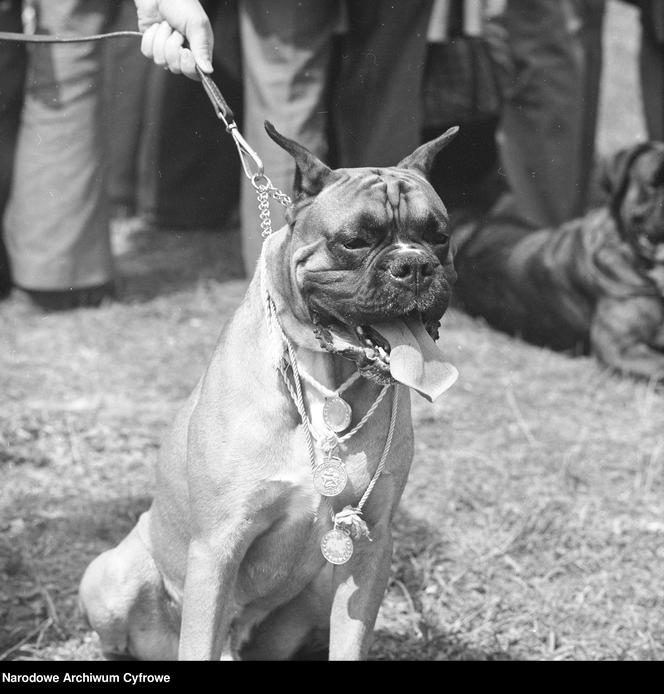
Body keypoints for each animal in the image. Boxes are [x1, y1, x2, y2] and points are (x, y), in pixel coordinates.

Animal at [78, 122, 460, 660]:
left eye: (438, 237)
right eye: (355, 241)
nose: (416, 266)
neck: (325, 378)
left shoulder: (370, 545)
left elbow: (350, 642)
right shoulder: (218, 546)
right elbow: (198, 639)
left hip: (320, 590)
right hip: (110, 576)